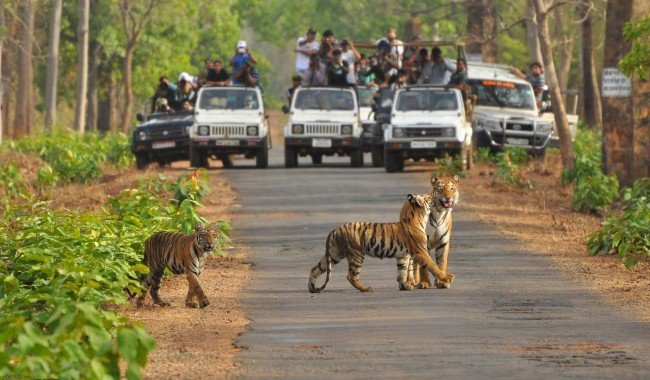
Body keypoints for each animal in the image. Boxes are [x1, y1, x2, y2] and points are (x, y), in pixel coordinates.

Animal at [308, 194, 456, 292]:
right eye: (429, 198)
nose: (437, 198)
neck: (419, 217)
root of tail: (335, 229)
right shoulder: (421, 252)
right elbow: (433, 266)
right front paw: (447, 278)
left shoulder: (403, 256)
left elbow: (402, 272)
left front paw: (405, 286)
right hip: (356, 254)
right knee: (351, 276)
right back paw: (366, 288)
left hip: (334, 254)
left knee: (315, 269)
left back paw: (312, 288)